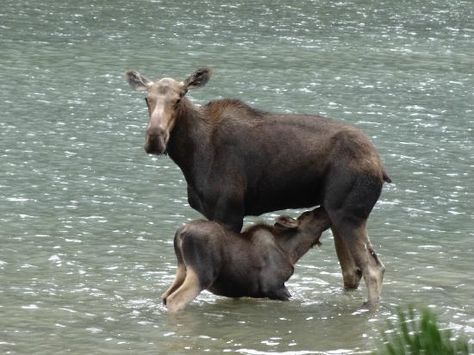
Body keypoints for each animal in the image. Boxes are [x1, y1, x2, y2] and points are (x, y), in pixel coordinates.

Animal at [162, 207, 330, 312]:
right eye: (308, 214)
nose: (324, 208)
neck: (291, 251)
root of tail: (180, 234)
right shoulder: (273, 286)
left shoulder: (241, 291)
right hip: (202, 274)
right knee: (174, 300)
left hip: (182, 270)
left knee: (165, 296)